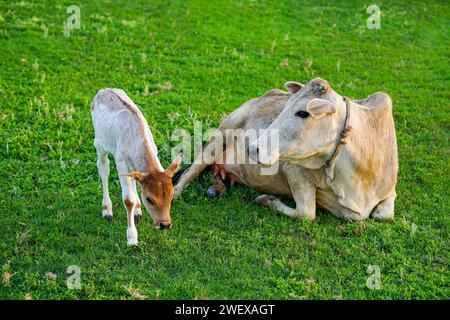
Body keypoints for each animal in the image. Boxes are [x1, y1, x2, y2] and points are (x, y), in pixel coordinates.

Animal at [90, 89, 180, 246]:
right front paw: (132, 238)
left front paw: (138, 210)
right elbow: (128, 199)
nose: (165, 224)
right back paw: (107, 210)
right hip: (99, 143)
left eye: (172, 196)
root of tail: (103, 90)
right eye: (149, 199)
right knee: (103, 168)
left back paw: (137, 211)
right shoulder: (121, 161)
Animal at [174, 79, 400, 221]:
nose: (252, 148)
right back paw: (174, 192)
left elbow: (383, 215)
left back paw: (216, 187)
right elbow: (307, 214)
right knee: (189, 172)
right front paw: (266, 199)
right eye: (285, 107)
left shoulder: (390, 191)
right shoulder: (293, 168)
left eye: (303, 113)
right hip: (221, 133)